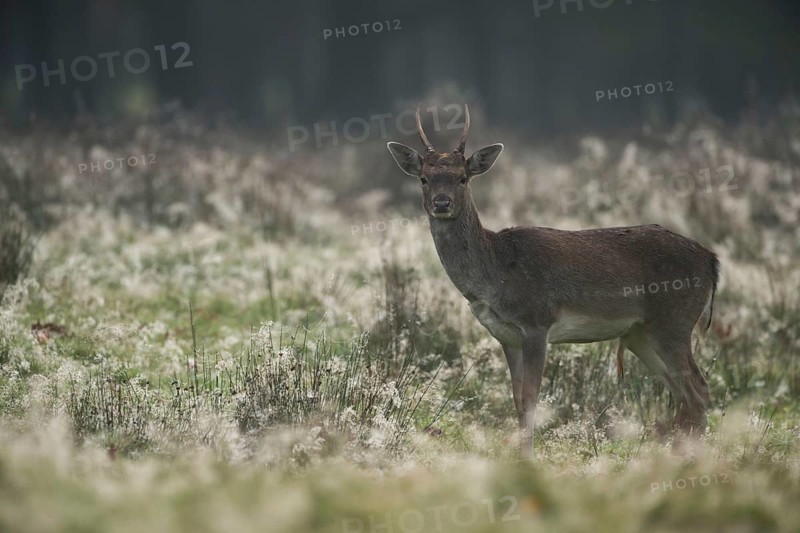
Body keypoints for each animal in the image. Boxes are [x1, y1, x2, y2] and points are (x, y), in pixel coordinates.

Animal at [386, 104, 719, 452]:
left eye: (462, 178)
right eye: (424, 178)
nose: (442, 202)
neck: (495, 272)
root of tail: (711, 260)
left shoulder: (537, 323)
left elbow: (531, 398)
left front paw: (528, 456)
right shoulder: (506, 336)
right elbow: (517, 400)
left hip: (675, 320)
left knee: (698, 389)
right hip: (642, 333)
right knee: (682, 392)